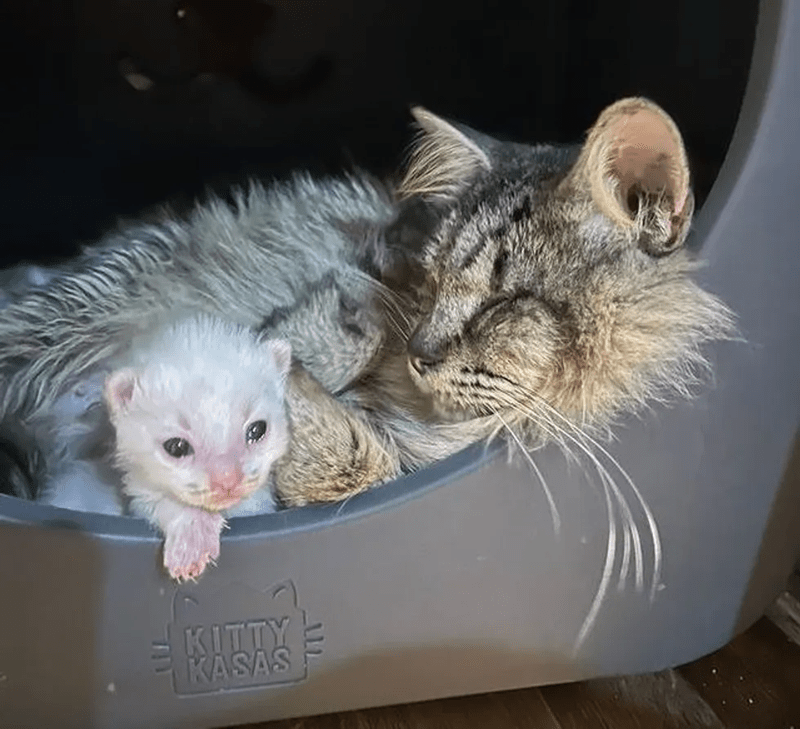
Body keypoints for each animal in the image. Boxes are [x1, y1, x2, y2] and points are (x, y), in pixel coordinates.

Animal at [0, 98, 732, 516]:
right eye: (434, 279)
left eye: (502, 300)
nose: (419, 354)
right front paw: (313, 342)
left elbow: (363, 465)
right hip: (75, 305)